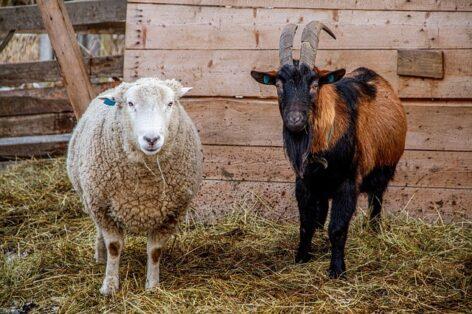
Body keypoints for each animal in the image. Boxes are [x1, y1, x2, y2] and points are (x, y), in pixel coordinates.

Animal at [66, 77, 203, 296]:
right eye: (130, 104)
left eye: (170, 103)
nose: (151, 139)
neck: (145, 183)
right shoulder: (103, 207)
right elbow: (114, 247)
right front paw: (110, 286)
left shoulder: (172, 213)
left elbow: (155, 251)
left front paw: (153, 286)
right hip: (91, 200)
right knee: (99, 231)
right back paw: (100, 257)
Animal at [251, 20, 406, 278]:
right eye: (279, 84)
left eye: (314, 83)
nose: (294, 121)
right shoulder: (305, 182)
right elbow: (307, 224)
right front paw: (301, 258)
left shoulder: (348, 182)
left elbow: (337, 227)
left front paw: (337, 270)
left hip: (382, 171)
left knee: (376, 201)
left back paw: (374, 232)